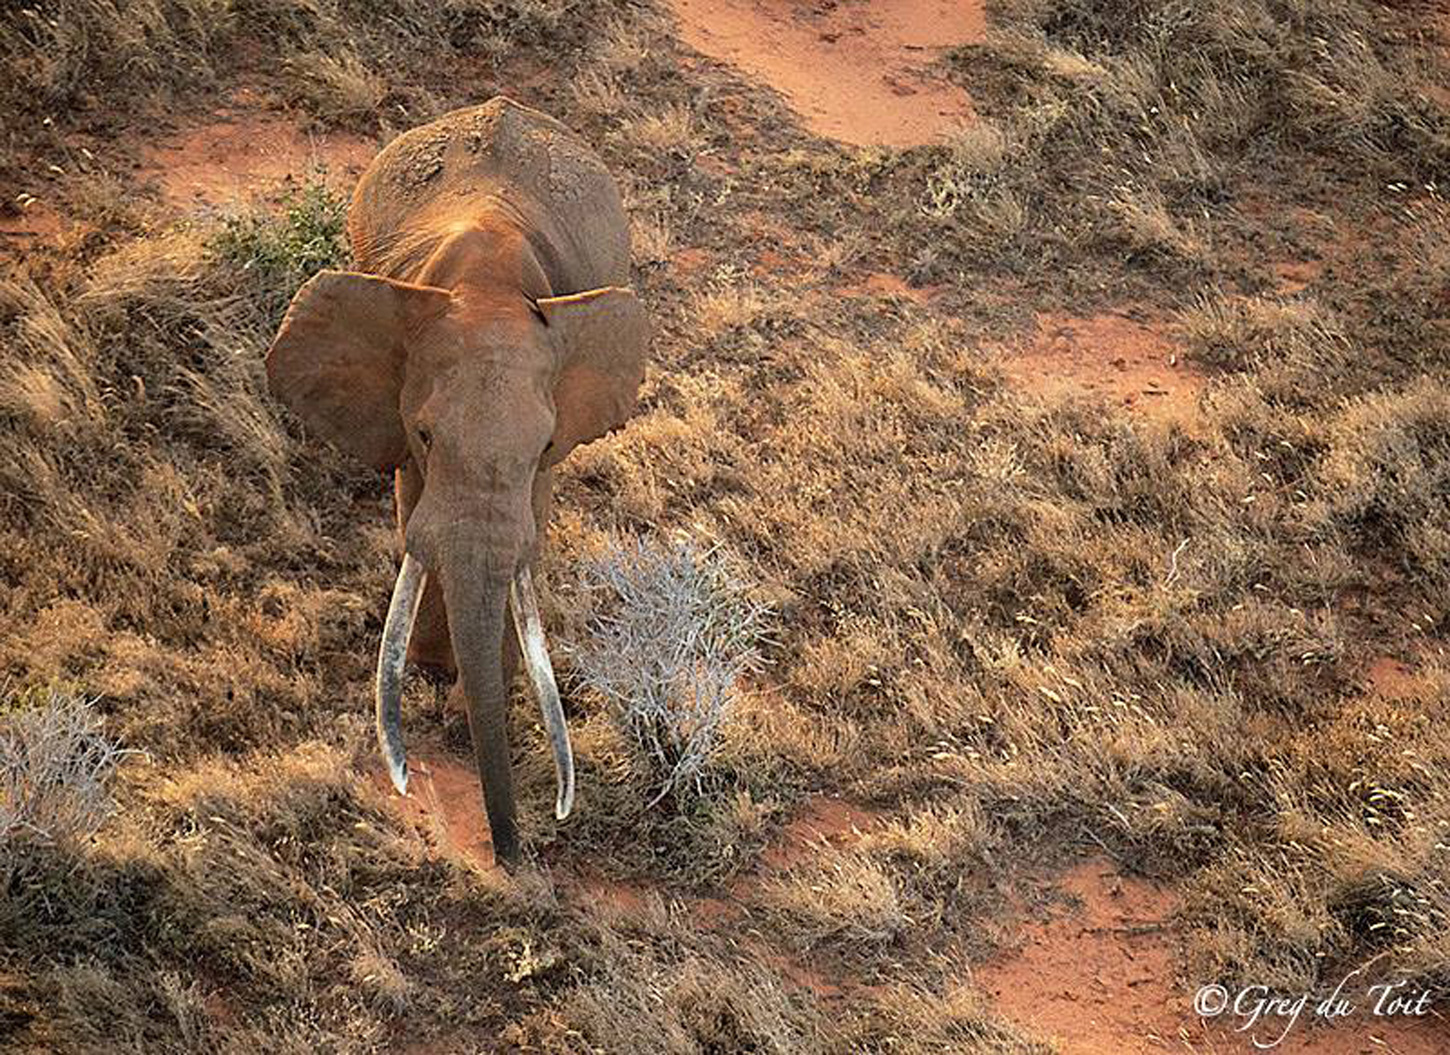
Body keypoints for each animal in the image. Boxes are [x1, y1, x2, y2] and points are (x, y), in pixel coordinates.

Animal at [266, 97, 652, 863]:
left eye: (544, 445)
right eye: (423, 435)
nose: (511, 854)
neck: (487, 286)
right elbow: (414, 502)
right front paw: (433, 675)